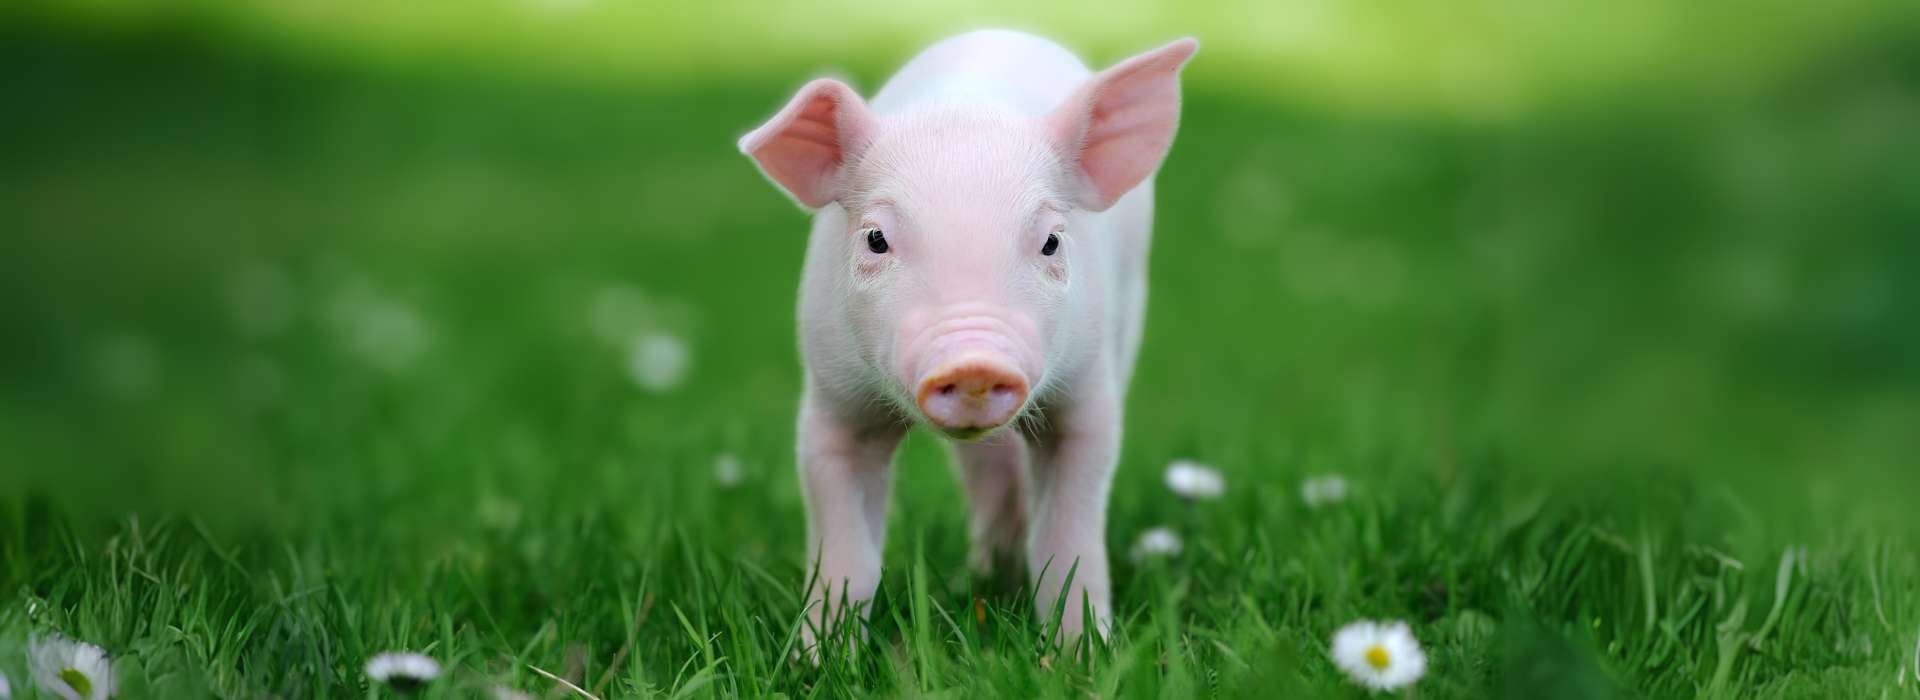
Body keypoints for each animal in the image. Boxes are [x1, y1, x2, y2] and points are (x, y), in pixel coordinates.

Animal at [738, 30, 1197, 652]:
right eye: (876, 238)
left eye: (1052, 241)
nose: (975, 362)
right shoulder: (833, 399)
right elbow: (846, 548)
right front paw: (820, 656)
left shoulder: (1087, 390)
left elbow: (1070, 535)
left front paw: (1082, 653)